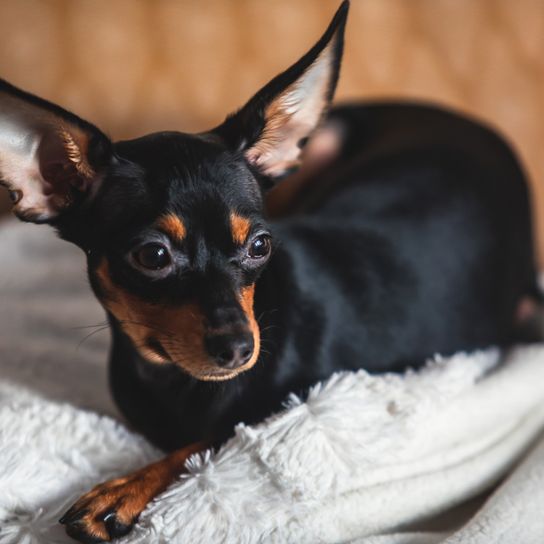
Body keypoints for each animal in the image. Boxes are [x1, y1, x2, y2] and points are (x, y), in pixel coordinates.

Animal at [0, 2, 540, 540]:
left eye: (260, 246)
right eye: (153, 256)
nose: (240, 348)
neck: (170, 377)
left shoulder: (284, 407)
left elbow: (209, 442)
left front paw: (125, 489)